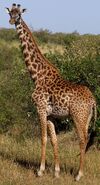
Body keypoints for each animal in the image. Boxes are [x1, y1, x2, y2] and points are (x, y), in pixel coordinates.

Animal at [5, 3, 96, 181]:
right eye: (10, 13)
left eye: (19, 14)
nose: (12, 21)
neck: (37, 75)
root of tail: (93, 100)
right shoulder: (51, 115)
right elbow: (54, 140)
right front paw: (56, 172)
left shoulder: (40, 109)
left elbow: (43, 138)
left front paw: (40, 171)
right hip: (87, 118)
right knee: (86, 138)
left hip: (78, 116)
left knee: (82, 139)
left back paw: (78, 175)